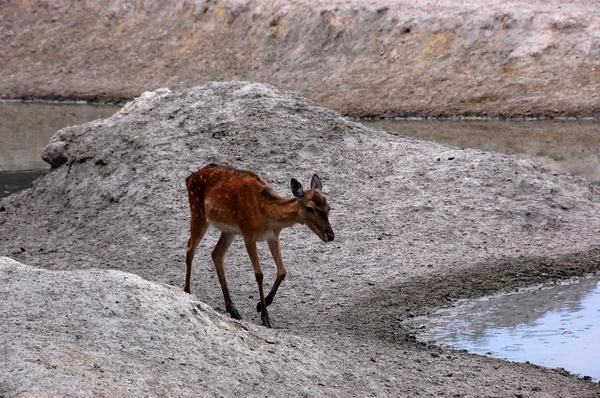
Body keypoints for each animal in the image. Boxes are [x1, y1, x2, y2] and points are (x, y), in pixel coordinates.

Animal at [184, 163, 332, 328]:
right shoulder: (248, 234)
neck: (267, 215)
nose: (330, 235)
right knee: (190, 248)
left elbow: (282, 271)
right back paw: (187, 291)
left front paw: (260, 305)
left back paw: (233, 310)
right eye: (309, 208)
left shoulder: (273, 237)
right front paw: (265, 318)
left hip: (229, 230)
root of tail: (189, 178)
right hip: (198, 212)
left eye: (329, 206)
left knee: (216, 254)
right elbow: (259, 274)